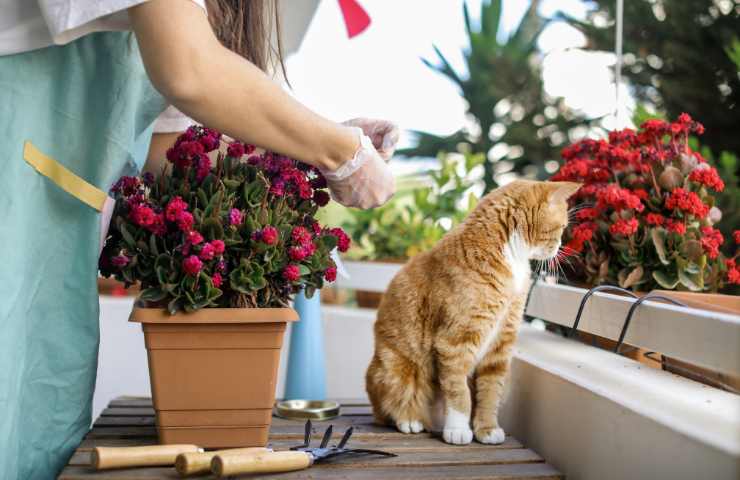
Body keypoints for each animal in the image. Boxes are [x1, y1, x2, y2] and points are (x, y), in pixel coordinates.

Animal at [368, 180, 580, 446]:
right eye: (561, 227)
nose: (560, 246)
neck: (509, 255)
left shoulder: (500, 346)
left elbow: (489, 392)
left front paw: (487, 429)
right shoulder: (456, 342)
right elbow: (460, 393)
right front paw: (458, 429)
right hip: (395, 368)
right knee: (391, 403)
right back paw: (410, 419)